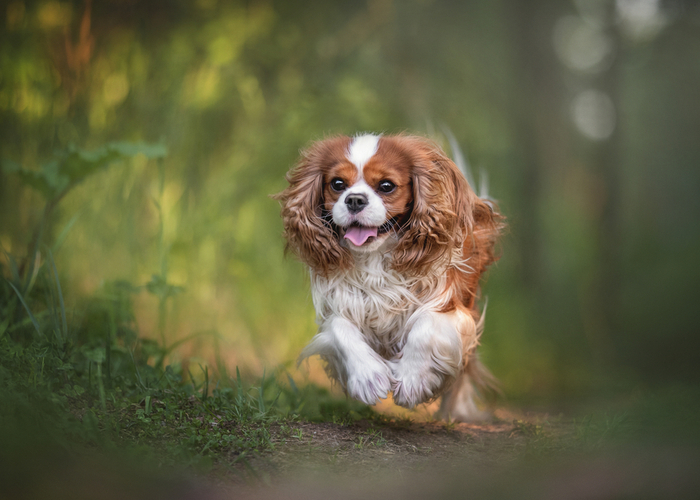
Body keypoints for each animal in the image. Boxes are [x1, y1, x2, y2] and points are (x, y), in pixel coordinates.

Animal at [274, 134, 504, 422]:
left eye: (386, 186)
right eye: (337, 184)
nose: (355, 200)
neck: (375, 260)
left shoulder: (452, 308)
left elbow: (426, 326)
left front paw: (412, 379)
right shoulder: (338, 305)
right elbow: (340, 328)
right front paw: (367, 377)